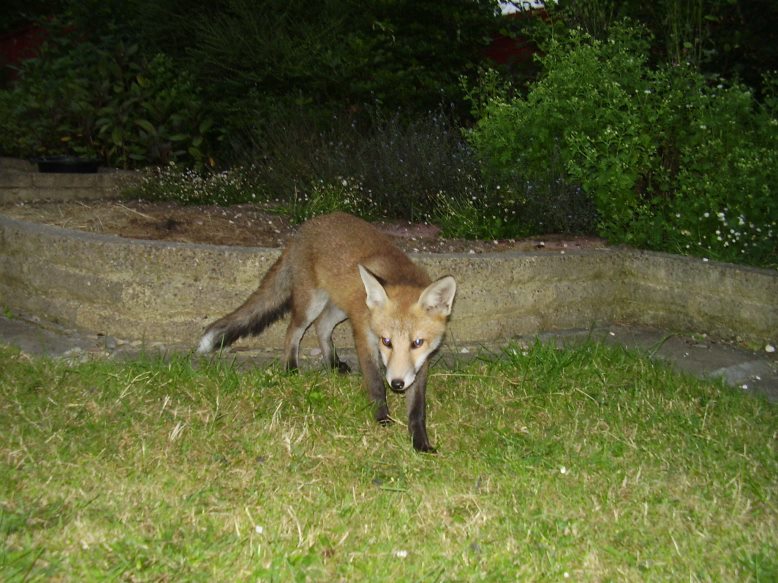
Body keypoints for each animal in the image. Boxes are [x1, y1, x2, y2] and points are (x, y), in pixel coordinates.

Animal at [197, 212, 458, 454]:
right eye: (386, 341)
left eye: (417, 342)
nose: (397, 383)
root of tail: (308, 225)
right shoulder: (364, 336)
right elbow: (375, 384)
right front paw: (382, 418)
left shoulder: (420, 362)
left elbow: (417, 408)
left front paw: (420, 442)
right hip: (311, 303)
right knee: (293, 330)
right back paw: (290, 367)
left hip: (340, 306)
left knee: (322, 325)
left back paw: (332, 363)